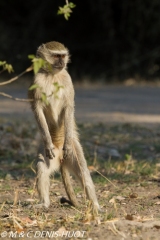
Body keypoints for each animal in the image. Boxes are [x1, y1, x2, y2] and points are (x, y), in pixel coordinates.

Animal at [28, 42, 99, 211]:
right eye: (56, 56)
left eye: (62, 56)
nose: (61, 62)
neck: (52, 75)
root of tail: (60, 155)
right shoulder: (37, 81)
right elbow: (37, 108)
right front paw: (47, 141)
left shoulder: (67, 79)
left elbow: (68, 107)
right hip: (51, 155)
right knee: (42, 167)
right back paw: (44, 203)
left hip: (73, 151)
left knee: (83, 172)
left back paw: (95, 206)